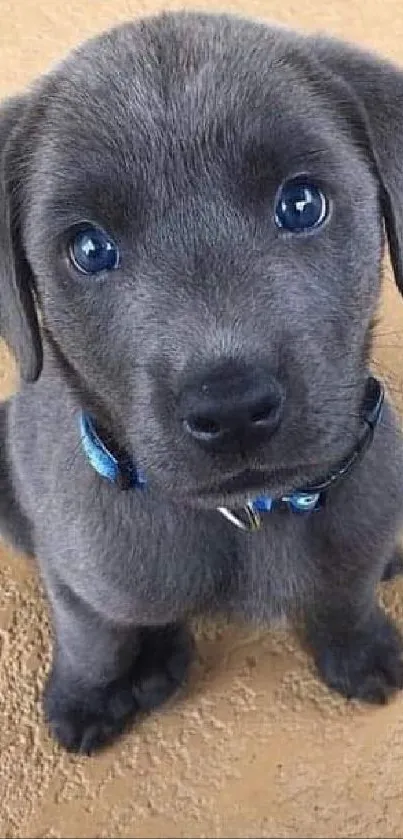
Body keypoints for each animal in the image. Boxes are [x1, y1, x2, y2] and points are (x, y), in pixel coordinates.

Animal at [0, 11, 403, 756]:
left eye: (301, 203)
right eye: (89, 248)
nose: (233, 408)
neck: (248, 516)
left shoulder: (359, 516)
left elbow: (346, 590)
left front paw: (359, 649)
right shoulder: (77, 565)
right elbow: (94, 635)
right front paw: (84, 696)